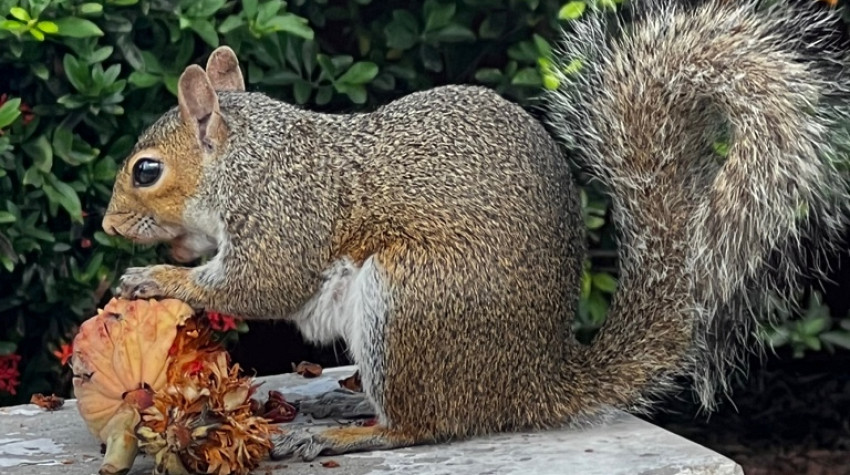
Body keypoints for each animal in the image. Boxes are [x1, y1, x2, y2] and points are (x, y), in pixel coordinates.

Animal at [101, 0, 850, 461]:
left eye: (146, 170)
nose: (107, 222)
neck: (248, 159)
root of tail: (533, 382)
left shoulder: (286, 213)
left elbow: (262, 283)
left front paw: (152, 278)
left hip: (410, 302)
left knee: (422, 426)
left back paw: (351, 435)